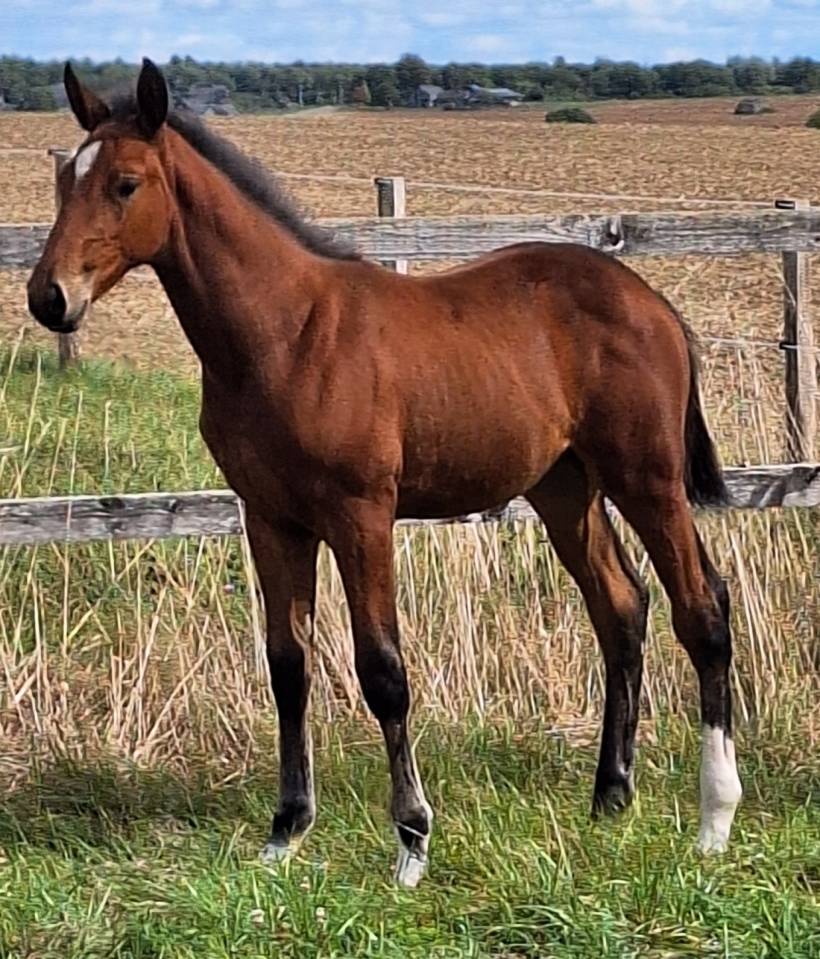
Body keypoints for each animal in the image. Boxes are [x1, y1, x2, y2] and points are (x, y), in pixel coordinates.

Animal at [27, 59, 742, 887]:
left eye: (126, 183)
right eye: (65, 181)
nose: (48, 297)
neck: (286, 334)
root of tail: (652, 302)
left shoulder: (360, 514)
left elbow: (382, 670)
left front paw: (412, 842)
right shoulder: (270, 518)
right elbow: (288, 666)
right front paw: (285, 832)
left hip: (648, 477)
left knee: (703, 608)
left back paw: (714, 818)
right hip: (565, 487)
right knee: (621, 608)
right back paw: (610, 798)